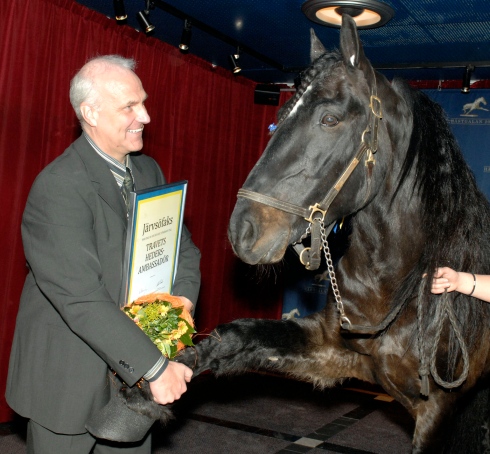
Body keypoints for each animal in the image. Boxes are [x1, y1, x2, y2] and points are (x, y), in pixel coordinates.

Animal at [178, 15, 490, 454]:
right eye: (279, 116)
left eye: (329, 119)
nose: (243, 230)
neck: (397, 285)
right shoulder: (330, 348)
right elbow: (236, 337)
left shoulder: (438, 412)